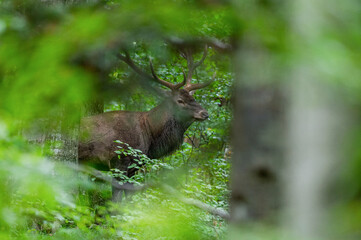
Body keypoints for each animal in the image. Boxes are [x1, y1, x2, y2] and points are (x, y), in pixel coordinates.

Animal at [78, 45, 214, 201]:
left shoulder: (135, 167)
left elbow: (129, 198)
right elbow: (116, 200)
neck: (149, 134)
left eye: (193, 98)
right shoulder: (119, 161)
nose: (205, 113)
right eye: (180, 100)